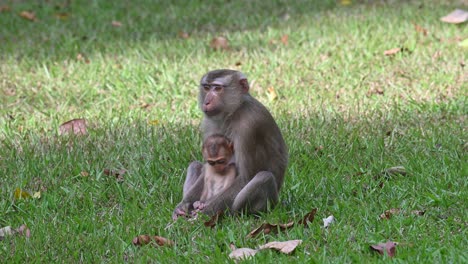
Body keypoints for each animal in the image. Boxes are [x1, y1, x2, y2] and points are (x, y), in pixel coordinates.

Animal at [173, 68, 288, 219]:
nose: (207, 101)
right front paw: (184, 205)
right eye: (206, 87)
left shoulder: (250, 127)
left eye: (217, 88)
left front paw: (205, 213)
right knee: (195, 165)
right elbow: (206, 167)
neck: (234, 111)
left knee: (264, 177)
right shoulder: (208, 123)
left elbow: (245, 177)